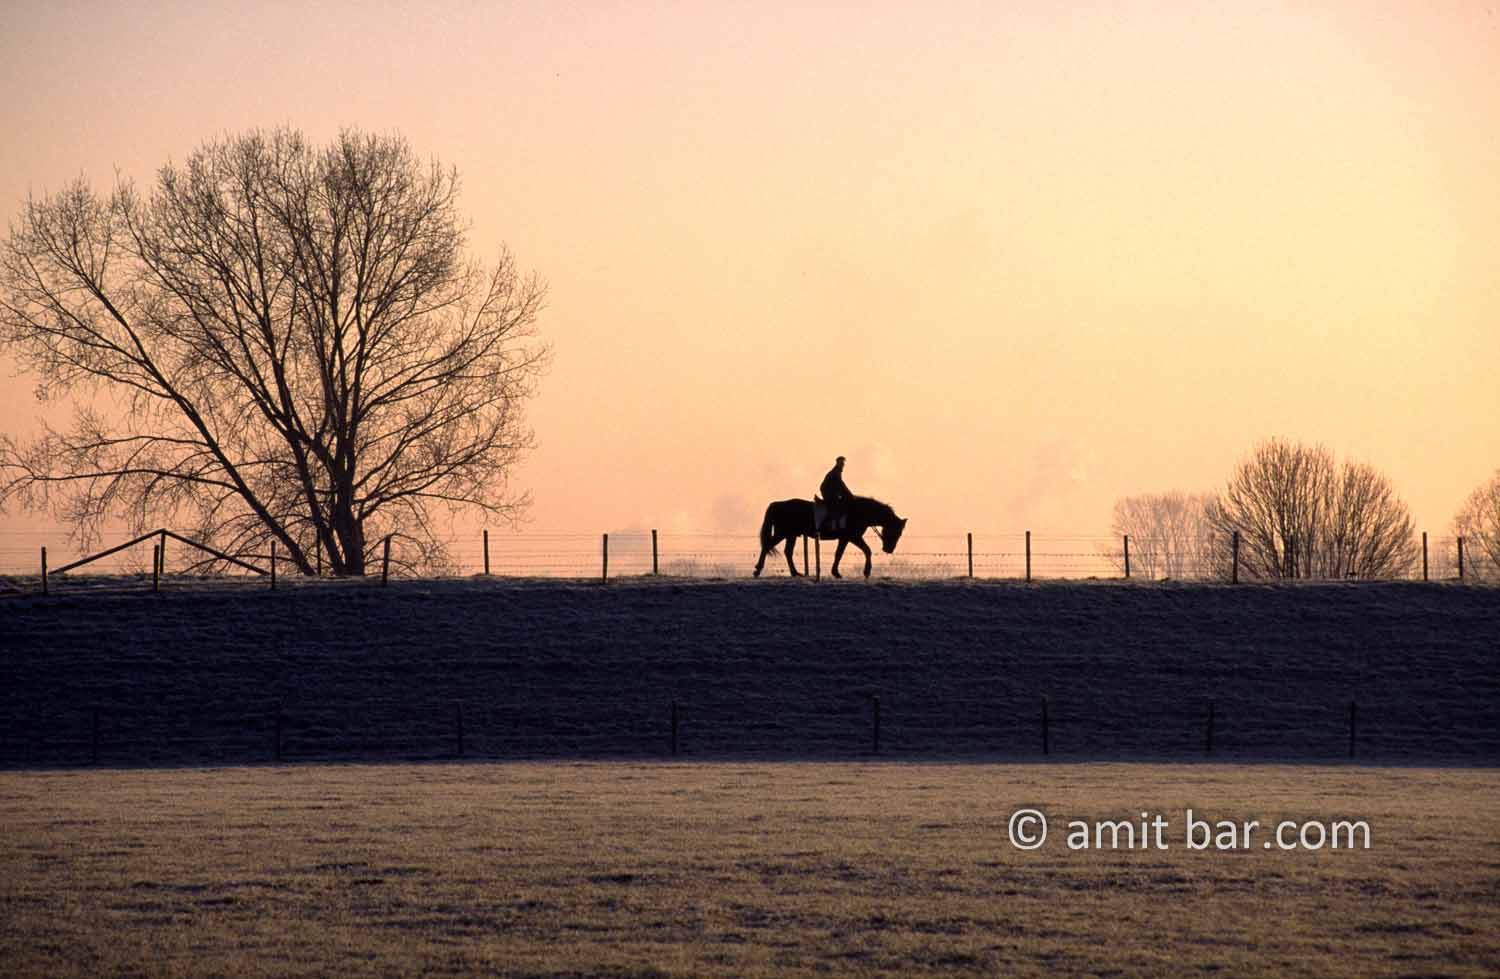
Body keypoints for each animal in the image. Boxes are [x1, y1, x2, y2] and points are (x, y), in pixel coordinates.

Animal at [753, 495, 908, 579]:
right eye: (897, 531)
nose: (889, 549)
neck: (859, 512)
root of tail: (777, 504)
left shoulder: (845, 539)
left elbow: (839, 554)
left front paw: (836, 572)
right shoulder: (853, 537)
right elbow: (866, 550)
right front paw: (866, 571)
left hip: (791, 535)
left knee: (787, 552)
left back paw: (795, 573)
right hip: (783, 533)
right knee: (767, 546)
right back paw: (757, 570)